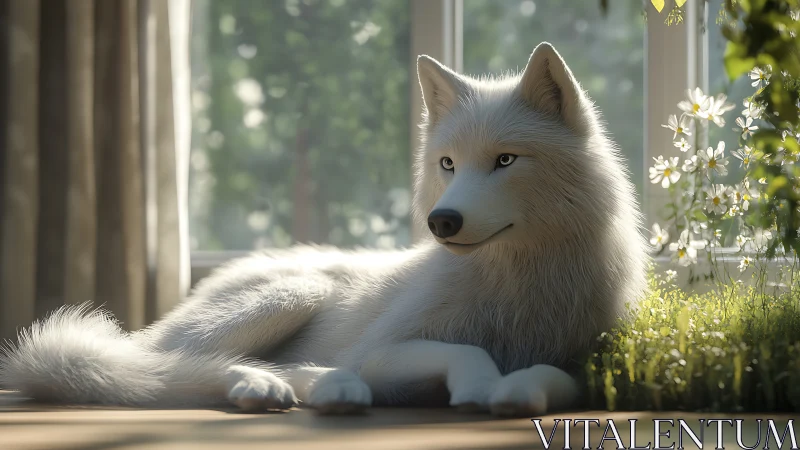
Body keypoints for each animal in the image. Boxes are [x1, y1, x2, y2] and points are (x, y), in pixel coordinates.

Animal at [0, 42, 647, 416]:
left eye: (505, 160)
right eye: (447, 164)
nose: (442, 221)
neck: (519, 289)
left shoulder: (586, 363)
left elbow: (552, 378)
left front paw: (515, 391)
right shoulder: (380, 352)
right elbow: (464, 352)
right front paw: (478, 386)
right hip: (292, 295)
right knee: (144, 369)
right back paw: (280, 384)